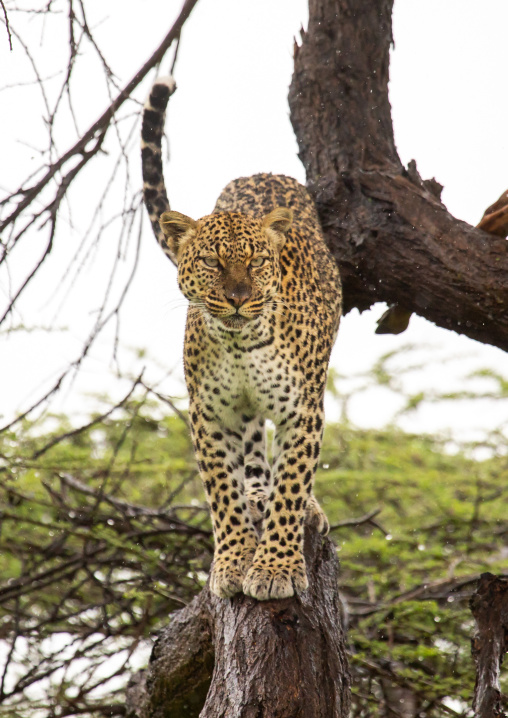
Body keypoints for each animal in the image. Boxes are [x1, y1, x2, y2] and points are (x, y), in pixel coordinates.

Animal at [141, 77, 342, 601]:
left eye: (255, 262)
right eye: (211, 261)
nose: (236, 298)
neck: (240, 344)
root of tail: (263, 170)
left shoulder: (303, 410)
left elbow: (292, 483)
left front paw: (275, 568)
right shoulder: (209, 414)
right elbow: (221, 492)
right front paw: (233, 561)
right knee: (253, 452)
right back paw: (256, 493)